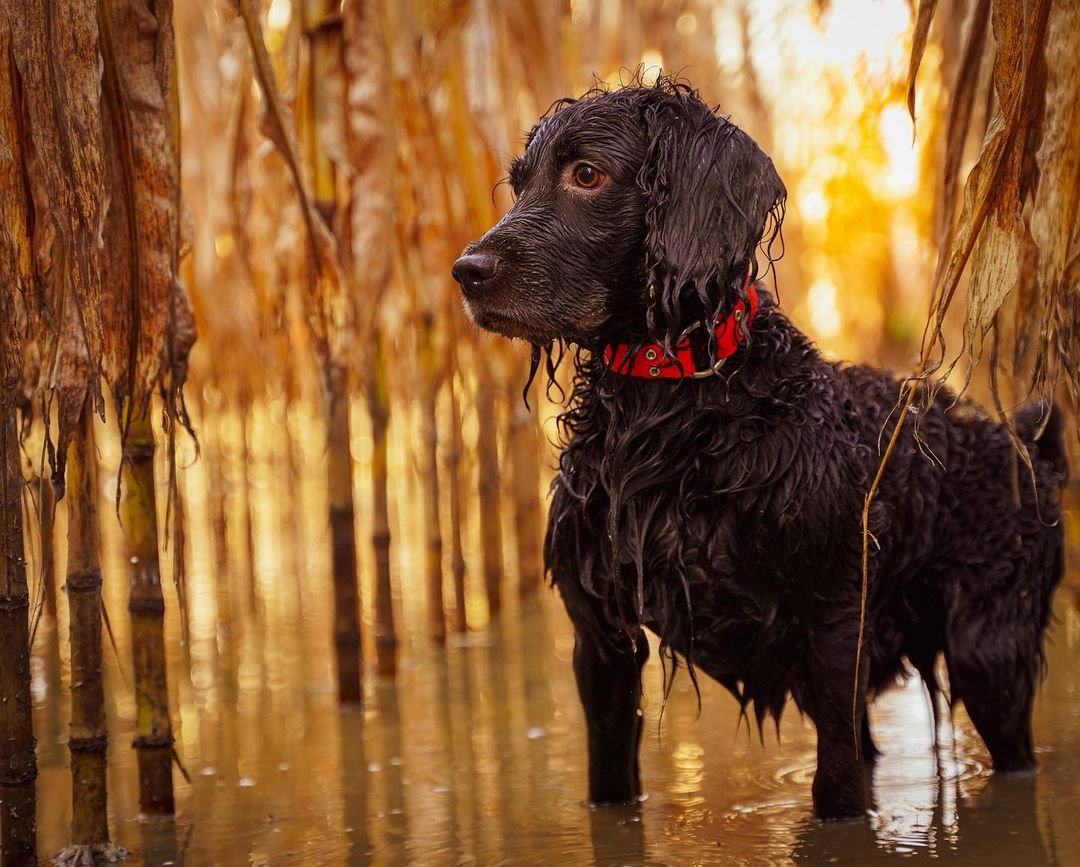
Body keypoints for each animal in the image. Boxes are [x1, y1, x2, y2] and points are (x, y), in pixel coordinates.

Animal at [451, 74, 1067, 820]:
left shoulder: (834, 621)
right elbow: (610, 788)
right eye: (519, 183)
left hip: (989, 654)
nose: (466, 271)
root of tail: (1026, 445)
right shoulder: (601, 638)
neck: (672, 417)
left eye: (586, 175)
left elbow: (838, 790)